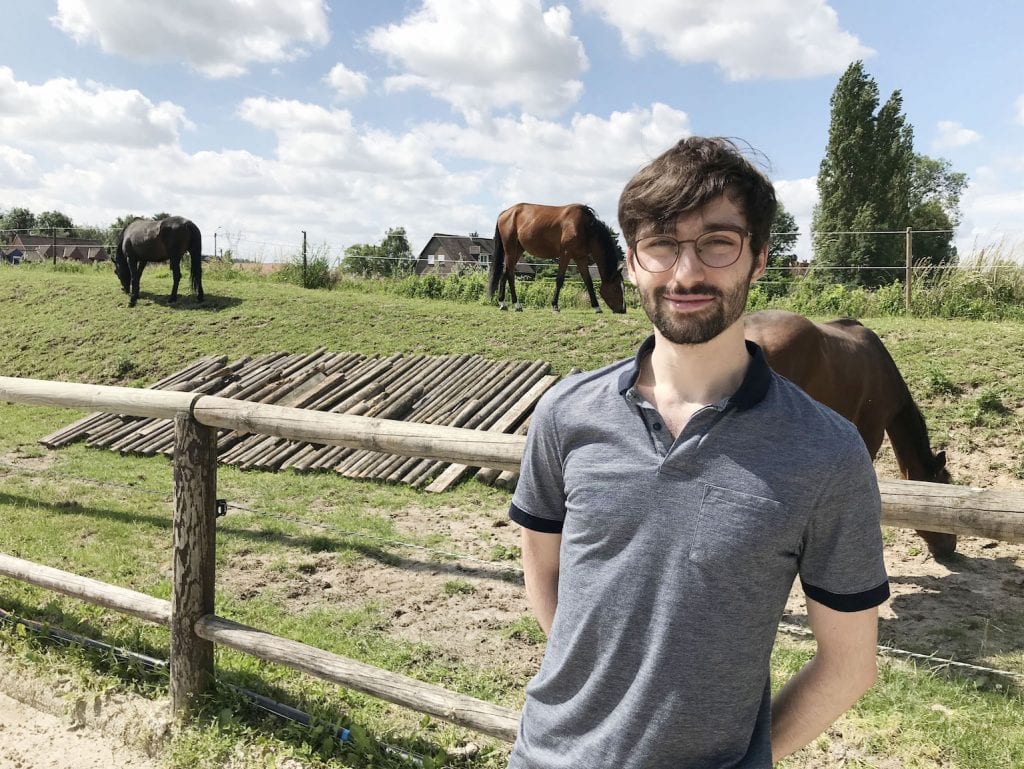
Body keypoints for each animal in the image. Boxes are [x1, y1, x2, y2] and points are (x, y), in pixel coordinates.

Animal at [487, 204, 622, 315]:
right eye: (617, 287)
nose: (623, 309)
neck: (585, 227)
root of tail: (506, 212)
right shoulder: (565, 255)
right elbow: (559, 280)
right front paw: (555, 306)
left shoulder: (580, 257)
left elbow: (588, 281)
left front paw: (597, 307)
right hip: (510, 249)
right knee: (510, 274)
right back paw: (516, 304)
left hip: (517, 250)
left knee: (505, 272)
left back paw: (502, 303)